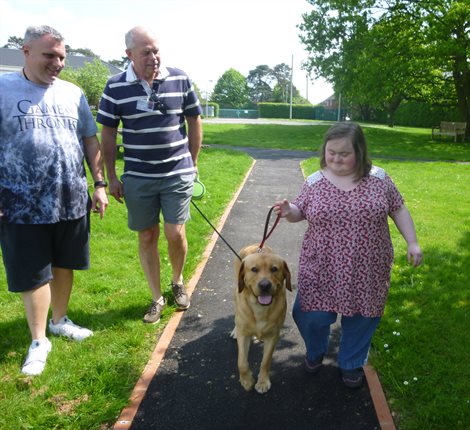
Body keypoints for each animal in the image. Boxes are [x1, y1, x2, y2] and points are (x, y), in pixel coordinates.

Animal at [230, 244, 292, 394]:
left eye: (274, 269)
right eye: (254, 269)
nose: (265, 285)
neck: (260, 308)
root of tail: (254, 245)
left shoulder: (273, 336)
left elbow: (266, 361)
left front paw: (263, 382)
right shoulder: (243, 335)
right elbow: (241, 362)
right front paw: (246, 380)